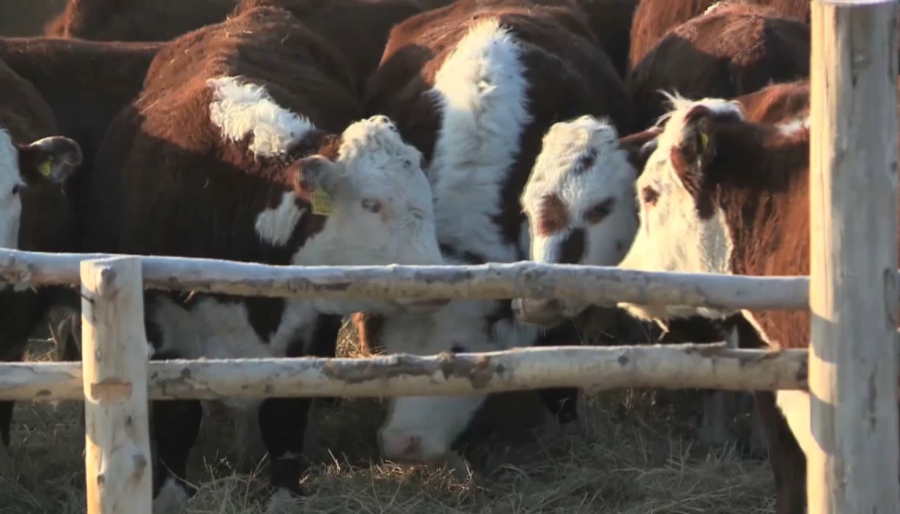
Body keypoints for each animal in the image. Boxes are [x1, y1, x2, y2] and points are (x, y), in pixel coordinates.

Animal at [86, 7, 444, 508]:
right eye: (371, 204)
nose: (437, 276)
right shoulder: (161, 328)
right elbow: (177, 422)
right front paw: (171, 495)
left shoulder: (306, 328)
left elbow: (284, 417)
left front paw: (285, 494)